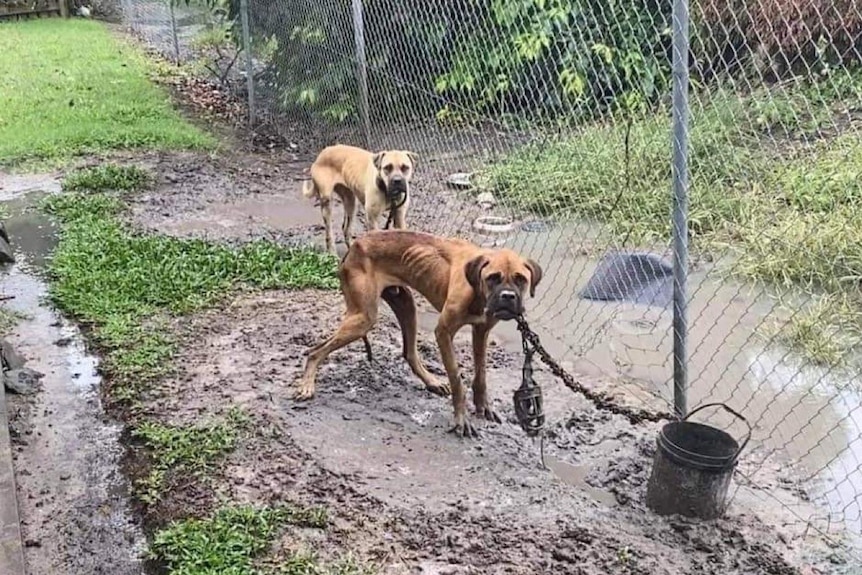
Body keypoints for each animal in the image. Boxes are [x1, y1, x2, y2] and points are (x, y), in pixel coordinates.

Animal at [294, 232, 544, 438]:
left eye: (521, 279)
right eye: (493, 277)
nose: (508, 297)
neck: (477, 291)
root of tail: (354, 246)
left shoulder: (481, 331)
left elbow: (481, 374)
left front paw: (483, 406)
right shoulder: (443, 333)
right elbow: (456, 378)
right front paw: (462, 420)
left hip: (405, 305)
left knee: (409, 353)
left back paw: (432, 381)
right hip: (363, 319)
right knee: (315, 351)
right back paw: (307, 385)